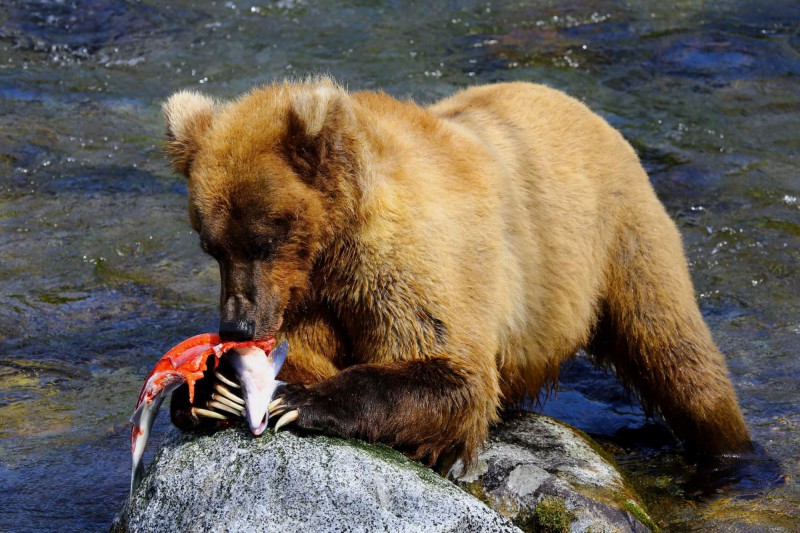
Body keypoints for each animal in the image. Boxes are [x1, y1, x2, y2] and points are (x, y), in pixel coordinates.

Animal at [161, 77, 752, 468]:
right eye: (212, 246)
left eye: (263, 239)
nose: (237, 325)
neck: (334, 243)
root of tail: (578, 104)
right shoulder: (307, 293)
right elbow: (305, 351)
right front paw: (212, 387)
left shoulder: (409, 259)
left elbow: (449, 370)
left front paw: (299, 403)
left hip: (619, 237)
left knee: (676, 353)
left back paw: (734, 452)